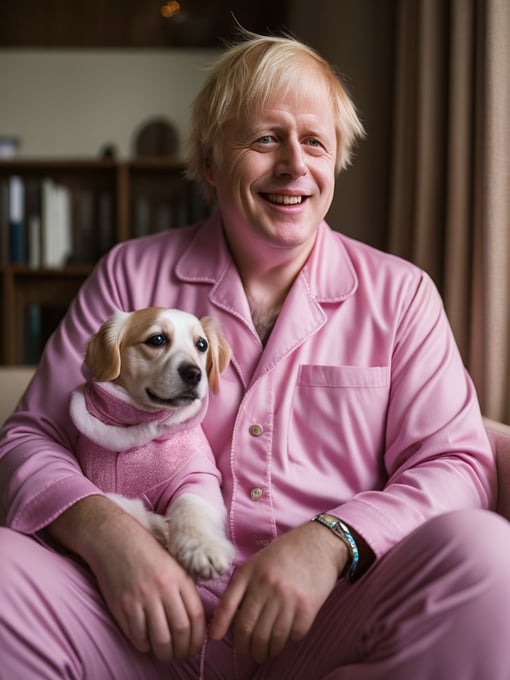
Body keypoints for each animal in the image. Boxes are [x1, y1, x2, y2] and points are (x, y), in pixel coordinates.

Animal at [68, 308, 234, 580]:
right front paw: (159, 526)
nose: (194, 373)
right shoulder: (96, 481)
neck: (140, 426)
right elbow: (120, 504)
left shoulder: (199, 475)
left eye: (202, 345)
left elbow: (191, 507)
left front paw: (201, 546)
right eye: (157, 339)